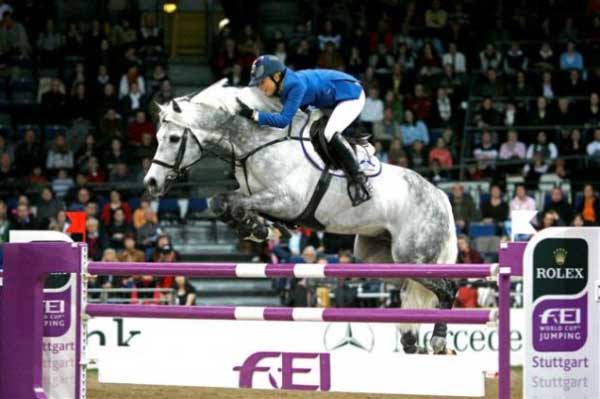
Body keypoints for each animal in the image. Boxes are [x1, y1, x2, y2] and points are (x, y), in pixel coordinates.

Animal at [143, 79, 458, 354]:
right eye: (158, 138)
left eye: (173, 138)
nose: (151, 182)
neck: (255, 144)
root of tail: (440, 196)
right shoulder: (258, 195)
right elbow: (221, 201)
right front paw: (255, 227)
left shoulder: (289, 200)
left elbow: (233, 202)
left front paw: (255, 227)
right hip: (378, 257)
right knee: (409, 288)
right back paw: (409, 338)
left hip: (413, 256)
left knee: (448, 288)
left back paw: (439, 339)